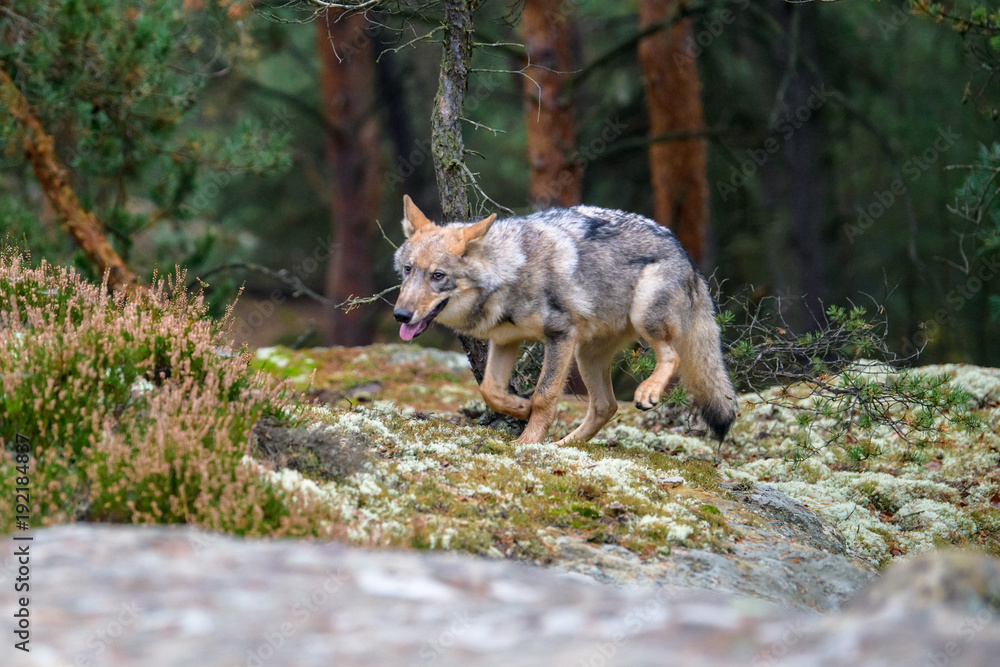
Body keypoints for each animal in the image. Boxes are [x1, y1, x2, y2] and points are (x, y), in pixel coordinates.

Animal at [392, 195, 737, 445]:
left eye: (438, 276)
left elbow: (544, 396)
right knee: (606, 407)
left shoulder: (560, 336)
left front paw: (526, 443)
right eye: (408, 270)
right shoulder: (505, 341)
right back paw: (563, 446)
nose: (400, 315)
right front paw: (520, 407)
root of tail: (686, 257)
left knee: (672, 356)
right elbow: (490, 390)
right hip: (587, 356)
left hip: (642, 322)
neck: (510, 272)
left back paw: (647, 392)